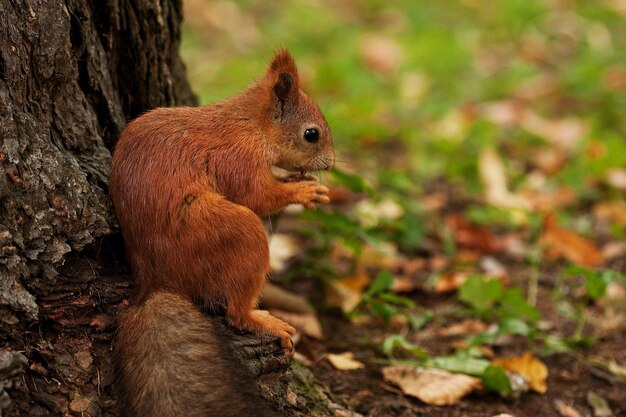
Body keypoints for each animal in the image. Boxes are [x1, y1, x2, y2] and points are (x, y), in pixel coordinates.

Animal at [108, 50, 332, 414]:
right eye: (311, 134)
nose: (330, 163)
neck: (250, 125)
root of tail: (156, 281)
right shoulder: (237, 158)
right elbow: (256, 195)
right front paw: (302, 192)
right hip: (235, 232)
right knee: (235, 313)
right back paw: (264, 321)